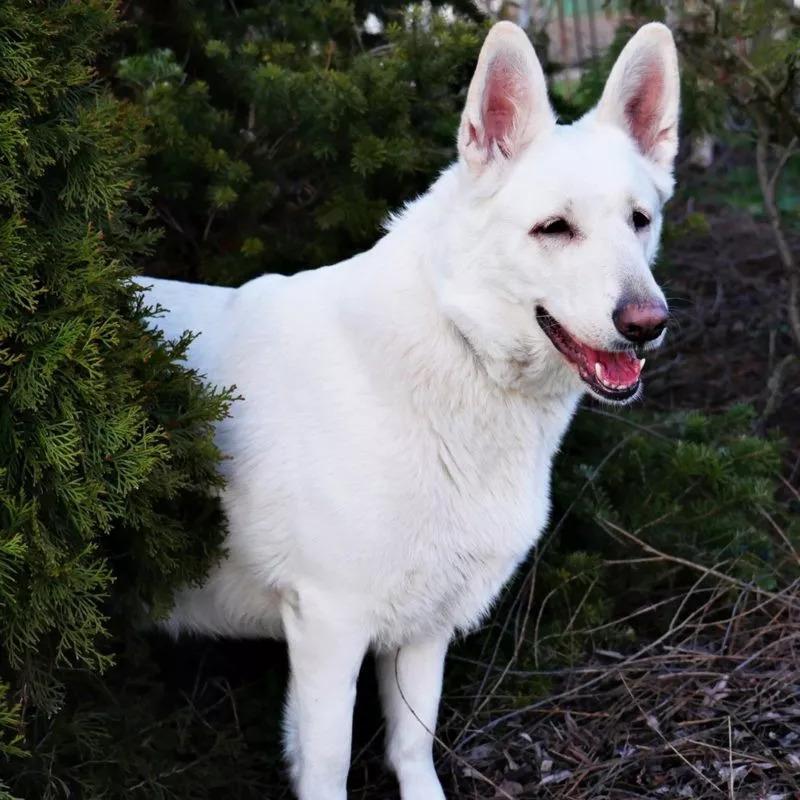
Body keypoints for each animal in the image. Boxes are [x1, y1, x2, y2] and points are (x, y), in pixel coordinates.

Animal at [141, 18, 680, 800]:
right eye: (554, 228)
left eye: (639, 221)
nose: (648, 323)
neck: (461, 349)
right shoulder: (329, 625)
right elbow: (329, 761)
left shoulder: (425, 626)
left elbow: (412, 745)